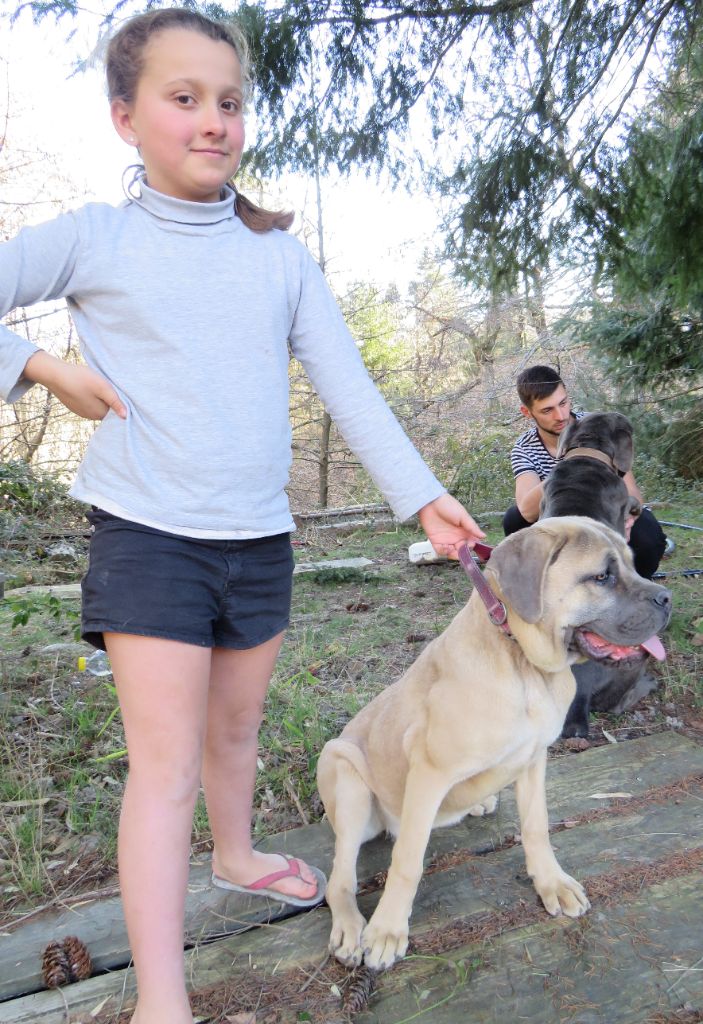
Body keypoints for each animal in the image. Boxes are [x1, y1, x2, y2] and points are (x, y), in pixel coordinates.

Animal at [317, 516, 671, 970]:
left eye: (632, 563)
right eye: (602, 577)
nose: (667, 598)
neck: (522, 660)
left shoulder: (534, 759)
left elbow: (536, 827)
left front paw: (551, 882)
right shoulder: (429, 771)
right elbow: (407, 861)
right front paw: (387, 931)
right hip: (345, 774)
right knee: (340, 877)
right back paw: (350, 926)